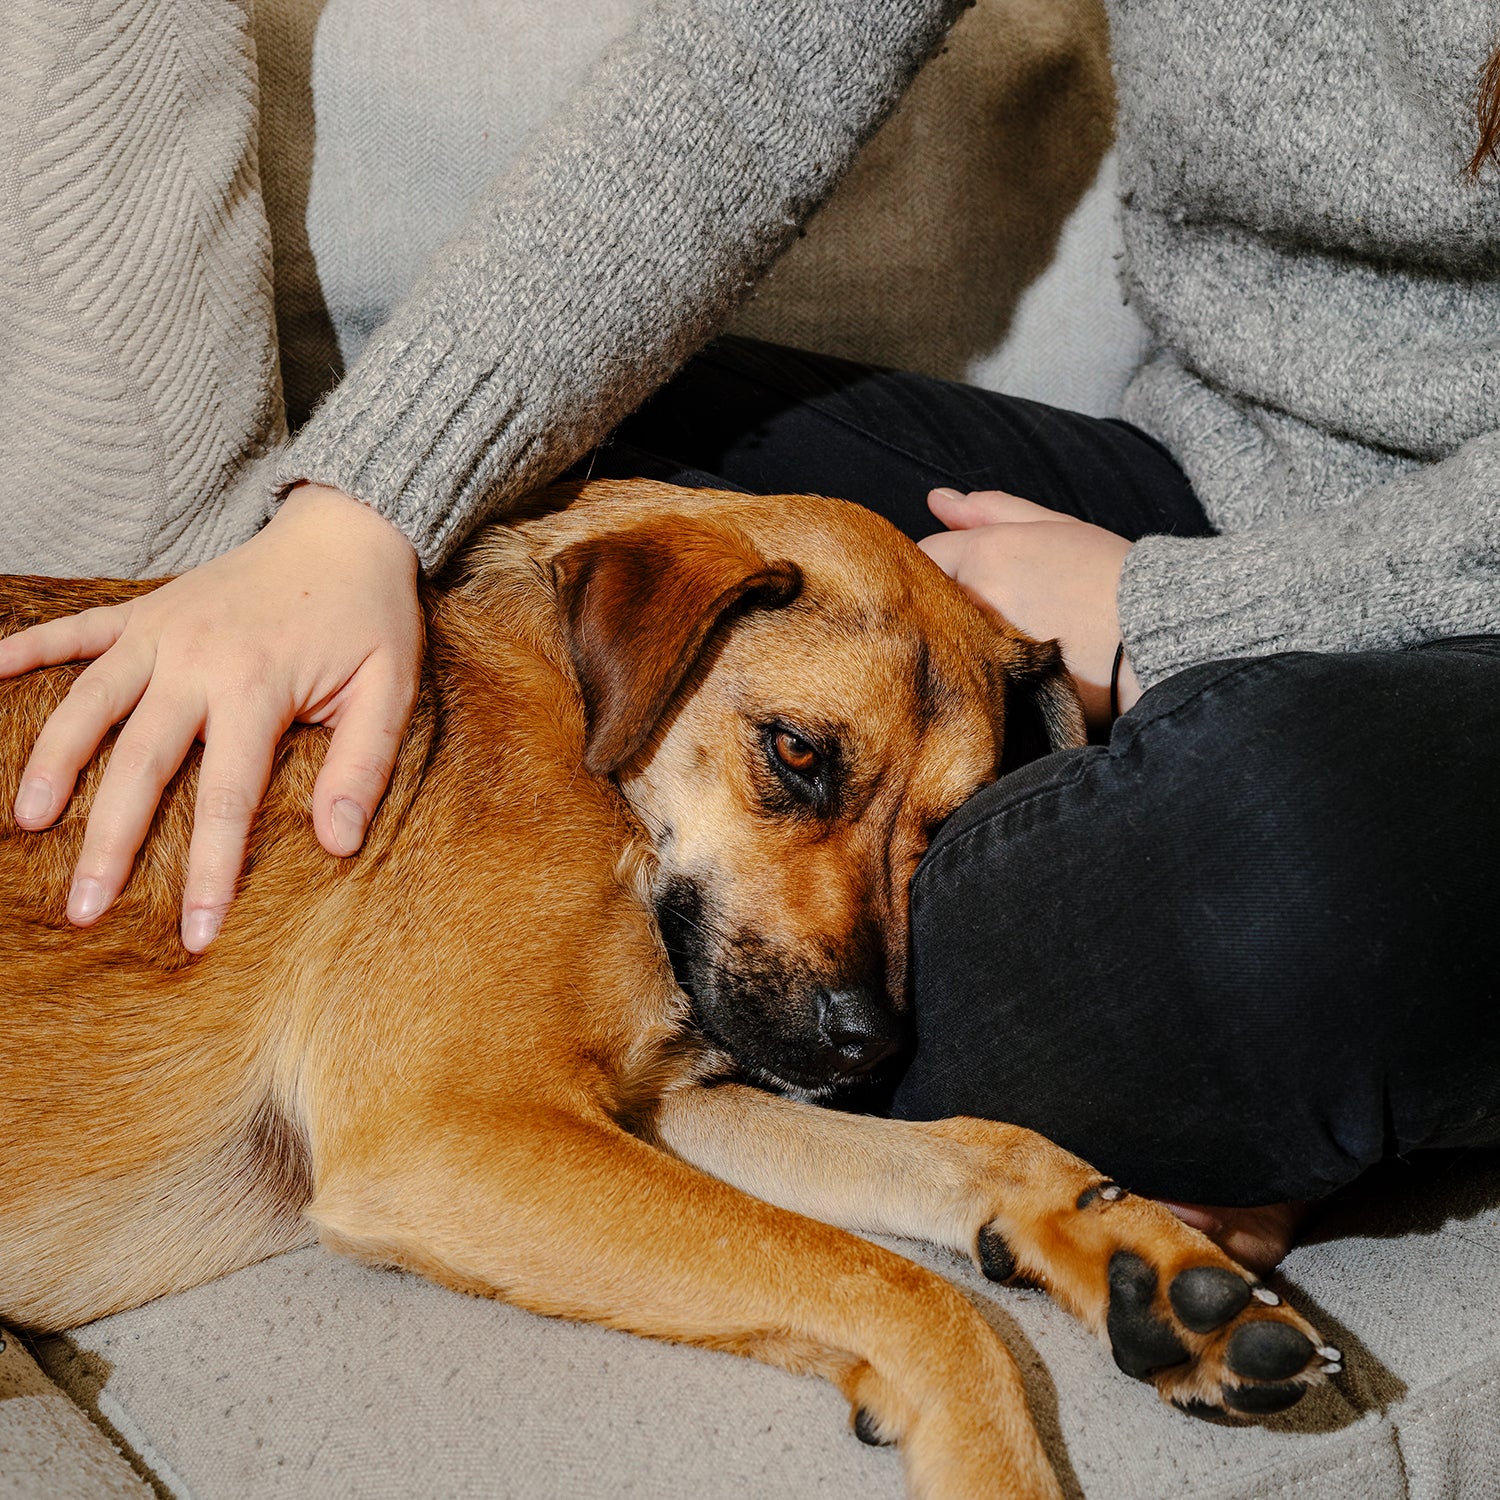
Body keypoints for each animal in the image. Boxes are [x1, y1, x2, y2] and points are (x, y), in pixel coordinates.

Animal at [0, 480, 1338, 1500]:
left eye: (947, 828)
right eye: (797, 754)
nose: (868, 1046)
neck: (589, 735)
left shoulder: (651, 1101)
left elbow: (974, 1148)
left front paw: (1139, 1256)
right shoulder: (451, 1133)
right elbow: (913, 1297)